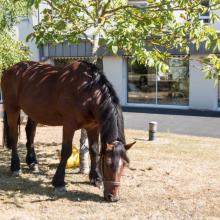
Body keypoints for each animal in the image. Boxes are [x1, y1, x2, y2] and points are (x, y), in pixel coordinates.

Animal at [0, 60, 135, 201]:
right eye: (108, 164)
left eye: (125, 164)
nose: (113, 197)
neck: (87, 91)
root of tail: (10, 69)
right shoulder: (69, 125)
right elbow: (66, 151)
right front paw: (59, 182)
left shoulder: (93, 127)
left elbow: (94, 150)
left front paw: (96, 178)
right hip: (12, 108)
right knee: (14, 137)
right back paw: (15, 167)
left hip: (34, 112)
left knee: (30, 133)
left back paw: (32, 162)